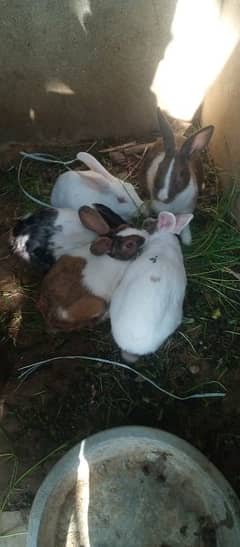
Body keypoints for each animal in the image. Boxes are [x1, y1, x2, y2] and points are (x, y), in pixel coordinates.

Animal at [139, 108, 214, 245]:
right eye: (160, 166)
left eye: (182, 173)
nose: (162, 197)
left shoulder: (187, 209)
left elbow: (186, 224)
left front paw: (187, 240)